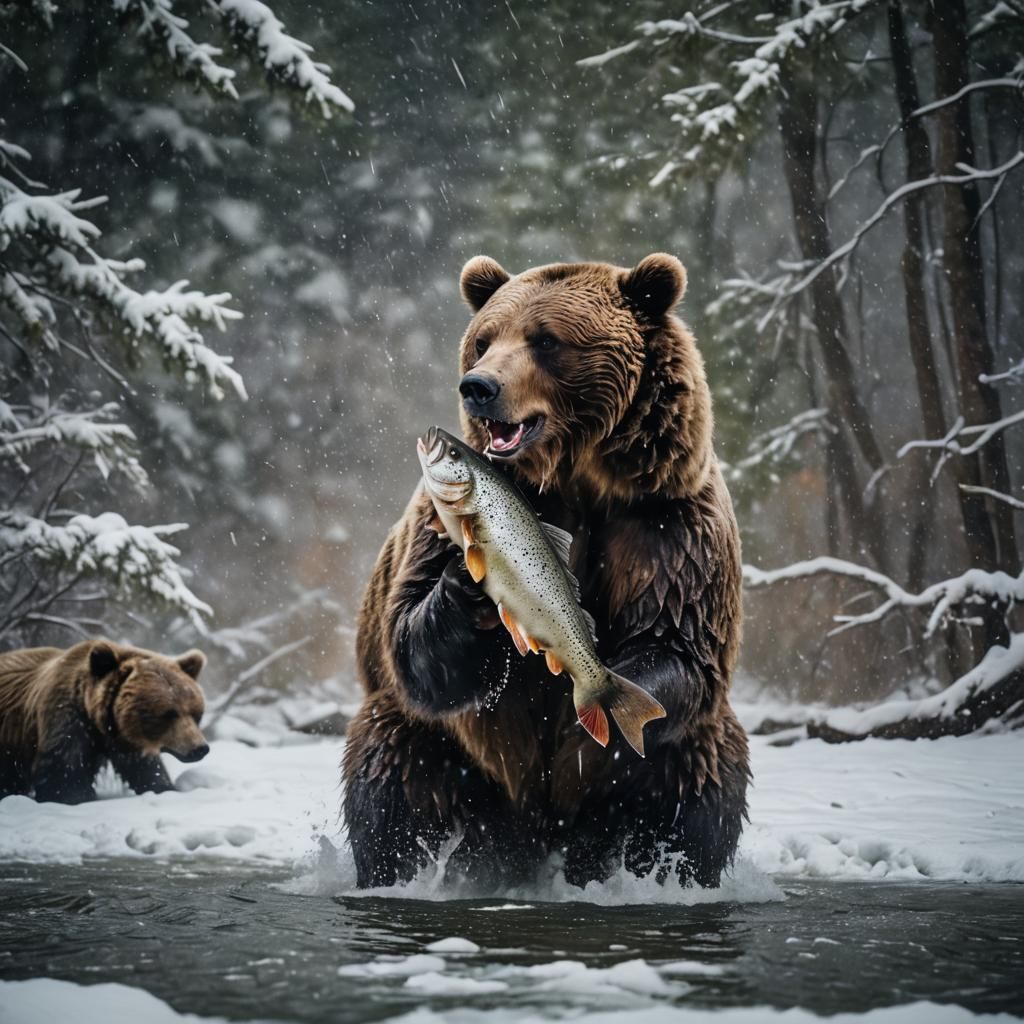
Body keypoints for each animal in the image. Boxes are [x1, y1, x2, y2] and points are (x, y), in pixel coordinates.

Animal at [0, 638, 209, 804]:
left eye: (195, 713)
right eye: (169, 713)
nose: (200, 748)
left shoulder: (127, 742)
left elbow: (147, 771)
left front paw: (164, 788)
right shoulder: (66, 722)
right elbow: (63, 775)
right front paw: (75, 796)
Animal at [342, 253, 749, 890]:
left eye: (546, 340)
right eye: (484, 339)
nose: (478, 387)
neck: (573, 476)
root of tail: (535, 844)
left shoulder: (666, 522)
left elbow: (675, 639)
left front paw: (581, 744)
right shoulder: (431, 523)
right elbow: (409, 634)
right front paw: (464, 592)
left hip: (677, 755)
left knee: (699, 786)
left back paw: (666, 871)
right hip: (451, 761)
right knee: (394, 778)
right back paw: (402, 871)